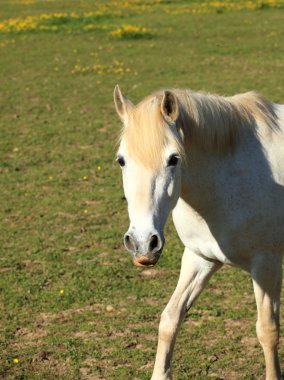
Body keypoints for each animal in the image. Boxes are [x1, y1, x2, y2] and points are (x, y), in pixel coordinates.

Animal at [113, 84, 284, 378]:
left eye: (173, 159)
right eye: (122, 160)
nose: (143, 243)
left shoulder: (267, 265)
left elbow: (268, 331)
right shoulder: (200, 258)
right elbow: (170, 318)